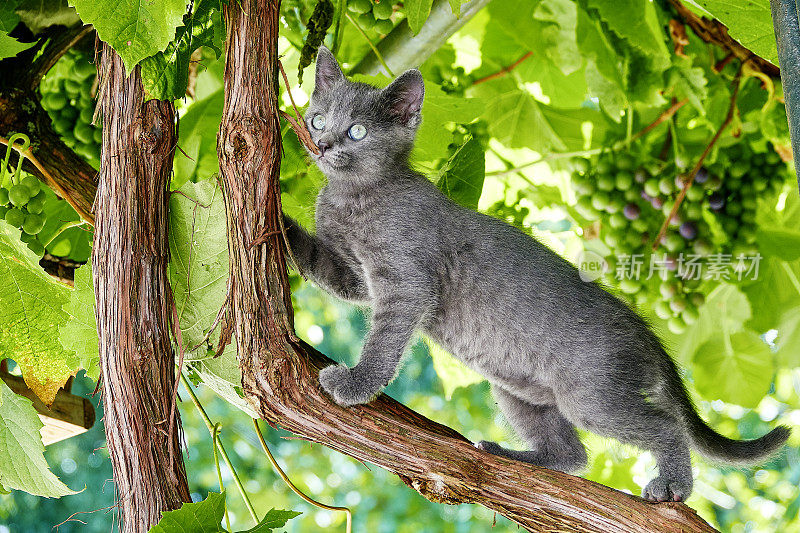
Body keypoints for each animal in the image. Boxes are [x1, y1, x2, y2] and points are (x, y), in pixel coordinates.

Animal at [284, 46, 792, 502]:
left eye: (357, 130)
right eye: (318, 119)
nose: (322, 144)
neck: (353, 198)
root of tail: (648, 337)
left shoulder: (406, 282)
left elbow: (385, 341)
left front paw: (356, 384)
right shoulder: (356, 275)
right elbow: (320, 263)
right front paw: (275, 221)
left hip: (592, 396)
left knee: (665, 426)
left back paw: (673, 485)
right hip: (517, 390)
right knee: (574, 455)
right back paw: (511, 457)